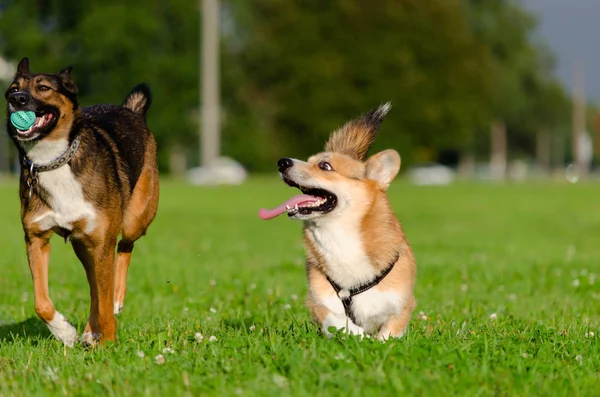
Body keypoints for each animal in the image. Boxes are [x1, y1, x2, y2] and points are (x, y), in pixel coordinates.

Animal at [4, 57, 159, 344]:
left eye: (44, 87)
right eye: (12, 89)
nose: (17, 100)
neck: (53, 160)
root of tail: (130, 111)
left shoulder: (103, 242)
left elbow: (105, 299)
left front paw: (107, 343)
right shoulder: (35, 237)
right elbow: (41, 302)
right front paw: (65, 333)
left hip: (134, 219)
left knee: (125, 249)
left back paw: (116, 301)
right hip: (83, 245)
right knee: (94, 288)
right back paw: (88, 331)